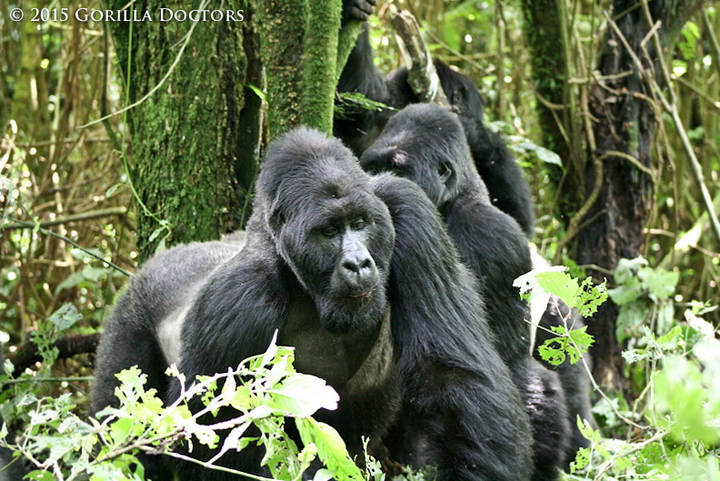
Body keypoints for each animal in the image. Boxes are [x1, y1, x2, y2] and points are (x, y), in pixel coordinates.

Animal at [91, 125, 536, 478]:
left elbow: (452, 373)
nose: (358, 263)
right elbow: (208, 447)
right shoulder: (237, 301)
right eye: (329, 231)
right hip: (132, 314)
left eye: (360, 223)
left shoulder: (407, 207)